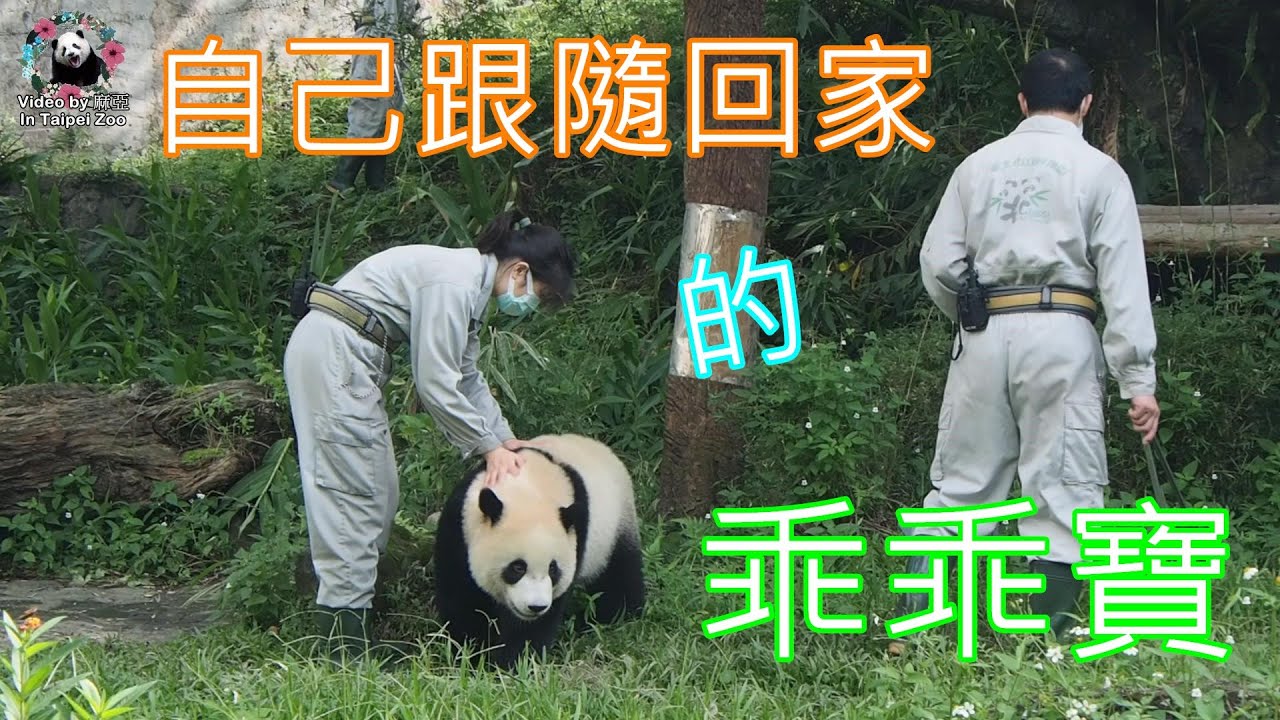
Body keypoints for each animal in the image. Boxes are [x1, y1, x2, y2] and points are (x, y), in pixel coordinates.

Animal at [432, 433, 645, 670]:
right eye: (517, 567)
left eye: (554, 569)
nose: (536, 606)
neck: (527, 490)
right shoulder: (459, 528)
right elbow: (463, 598)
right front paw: (470, 653)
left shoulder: (577, 535)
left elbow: (534, 625)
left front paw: (512, 663)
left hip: (614, 527)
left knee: (619, 577)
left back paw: (603, 617)